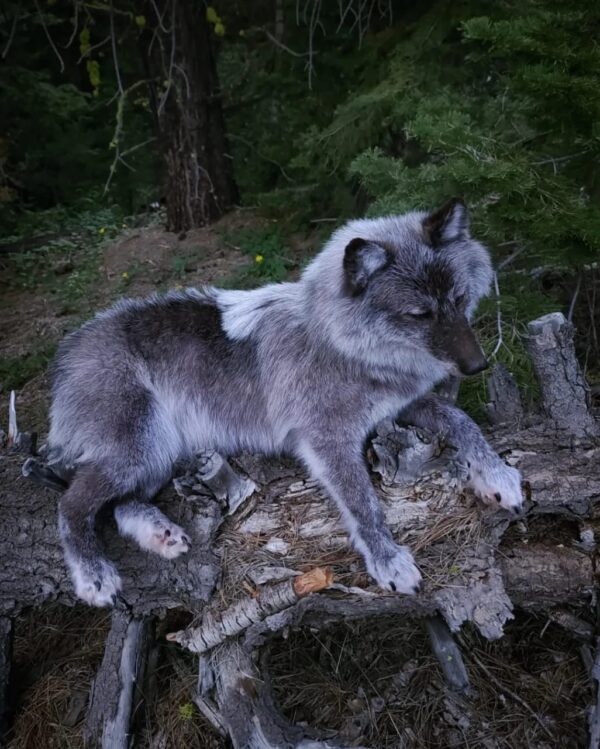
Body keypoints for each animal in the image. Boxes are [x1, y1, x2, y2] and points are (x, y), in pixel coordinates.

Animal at [41, 199, 523, 606]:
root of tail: (68, 349)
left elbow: (461, 419)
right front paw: (388, 560)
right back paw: (94, 575)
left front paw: (496, 473)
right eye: (420, 314)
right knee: (71, 505)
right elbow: (364, 503)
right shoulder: (326, 440)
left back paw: (160, 533)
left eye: (459, 299)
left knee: (119, 507)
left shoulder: (398, 408)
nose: (478, 365)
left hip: (158, 453)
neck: (339, 343)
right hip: (140, 449)